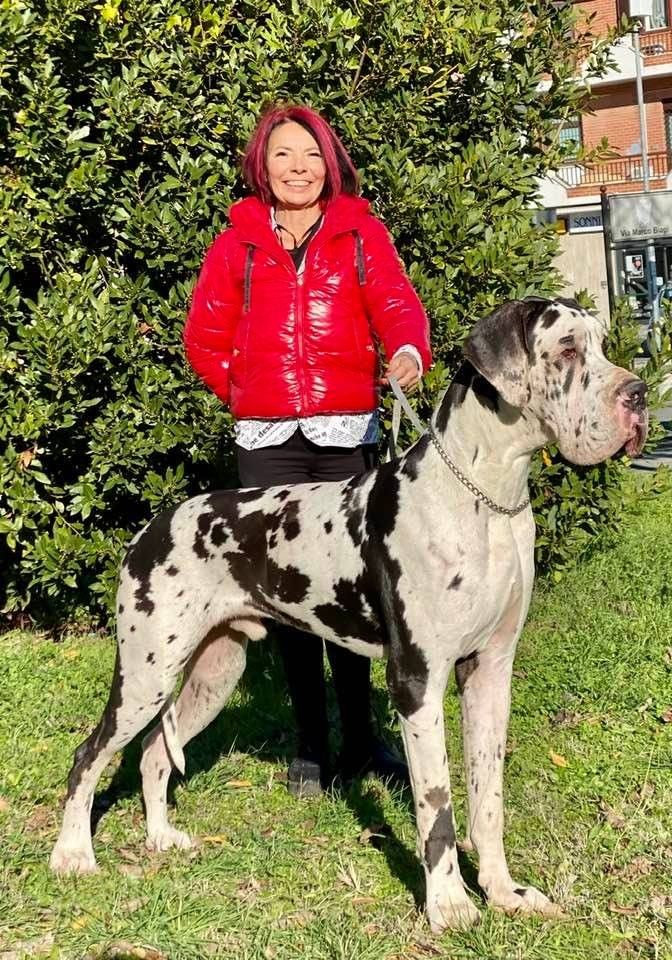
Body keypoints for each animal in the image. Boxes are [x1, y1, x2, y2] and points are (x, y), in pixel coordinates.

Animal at [50, 298, 647, 932]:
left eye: (601, 342)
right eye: (566, 350)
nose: (637, 394)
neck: (486, 497)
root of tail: (152, 528)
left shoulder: (490, 670)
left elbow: (487, 800)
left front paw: (503, 892)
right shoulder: (417, 681)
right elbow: (437, 806)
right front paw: (449, 905)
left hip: (213, 671)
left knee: (154, 754)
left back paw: (162, 837)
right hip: (147, 673)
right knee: (88, 756)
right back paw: (72, 855)